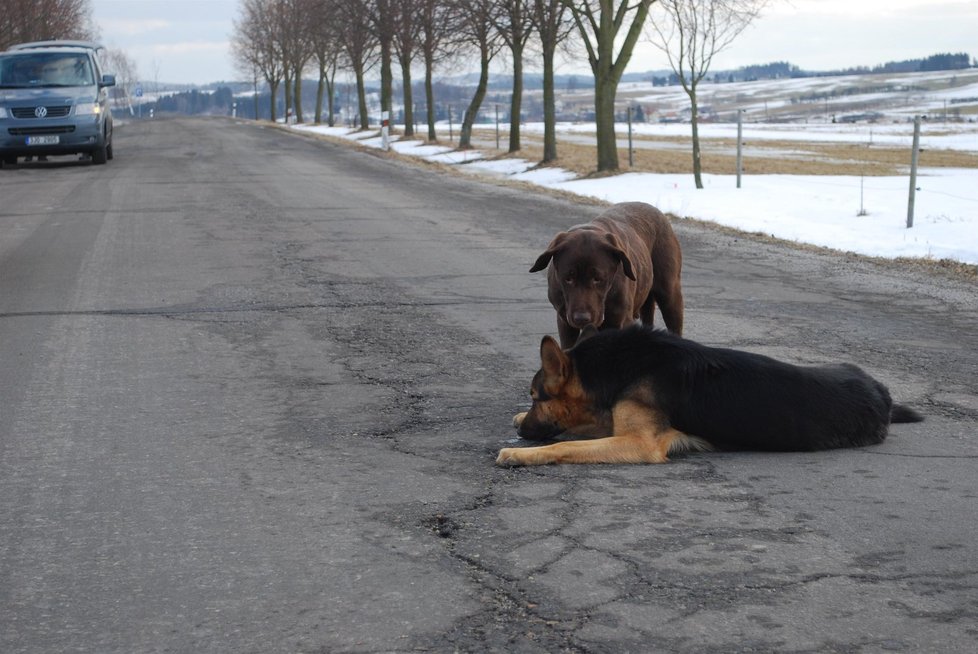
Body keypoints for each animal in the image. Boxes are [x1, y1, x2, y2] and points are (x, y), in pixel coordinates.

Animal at [496, 328, 924, 466]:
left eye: (536, 396)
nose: (525, 433)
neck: (620, 366)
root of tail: (882, 392)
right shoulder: (617, 422)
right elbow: (581, 428)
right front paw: (516, 421)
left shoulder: (639, 441)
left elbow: (565, 445)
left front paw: (520, 453)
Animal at [528, 204, 684, 348]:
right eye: (568, 279)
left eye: (598, 279)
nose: (582, 318)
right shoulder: (564, 321)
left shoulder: (621, 321)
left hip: (669, 295)